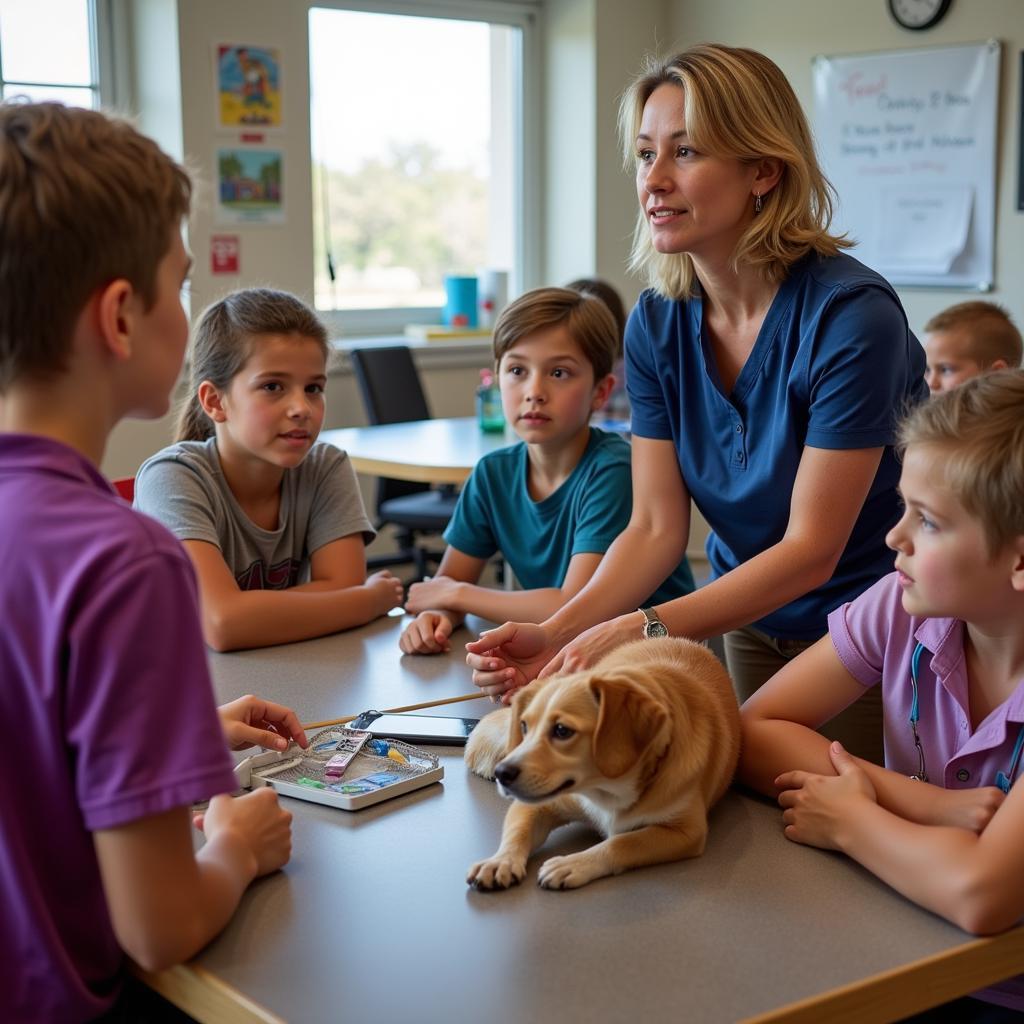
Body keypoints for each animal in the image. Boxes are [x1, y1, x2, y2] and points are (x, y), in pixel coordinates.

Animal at [462, 638, 737, 888]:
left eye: (562, 730)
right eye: (524, 726)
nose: (502, 773)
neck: (609, 788)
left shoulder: (686, 832)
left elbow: (622, 842)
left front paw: (573, 863)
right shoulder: (539, 803)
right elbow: (517, 832)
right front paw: (501, 861)